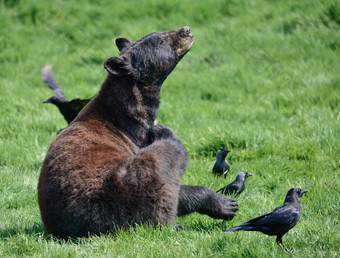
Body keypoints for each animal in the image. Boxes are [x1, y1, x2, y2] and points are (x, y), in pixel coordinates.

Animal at [38, 27, 238, 239]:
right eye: (159, 40)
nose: (187, 30)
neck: (134, 110)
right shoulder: (137, 137)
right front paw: (225, 203)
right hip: (121, 193)